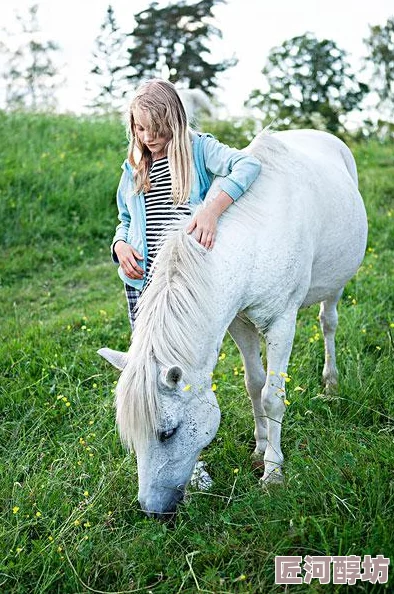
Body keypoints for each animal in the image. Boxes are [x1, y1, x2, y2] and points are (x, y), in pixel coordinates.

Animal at [97, 128, 366, 512]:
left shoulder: (282, 323)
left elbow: (273, 396)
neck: (256, 236)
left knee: (328, 322)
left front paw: (273, 473)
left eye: (168, 432)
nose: (152, 510)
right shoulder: (239, 323)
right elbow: (254, 386)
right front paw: (259, 448)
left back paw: (330, 384)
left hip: (336, 286)